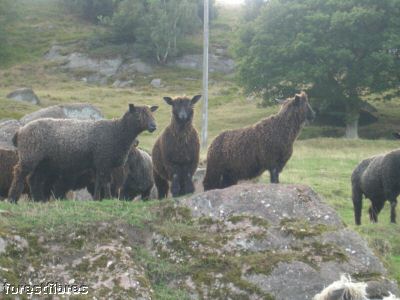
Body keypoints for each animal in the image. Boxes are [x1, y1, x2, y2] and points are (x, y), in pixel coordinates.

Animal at [7, 104, 158, 203]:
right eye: (139, 115)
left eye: (151, 114)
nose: (153, 126)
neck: (117, 131)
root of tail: (20, 132)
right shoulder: (103, 161)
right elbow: (106, 182)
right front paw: (107, 198)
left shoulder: (99, 164)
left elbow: (99, 182)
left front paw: (97, 199)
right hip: (29, 156)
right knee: (19, 173)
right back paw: (12, 198)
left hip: (43, 163)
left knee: (34, 179)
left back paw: (38, 200)